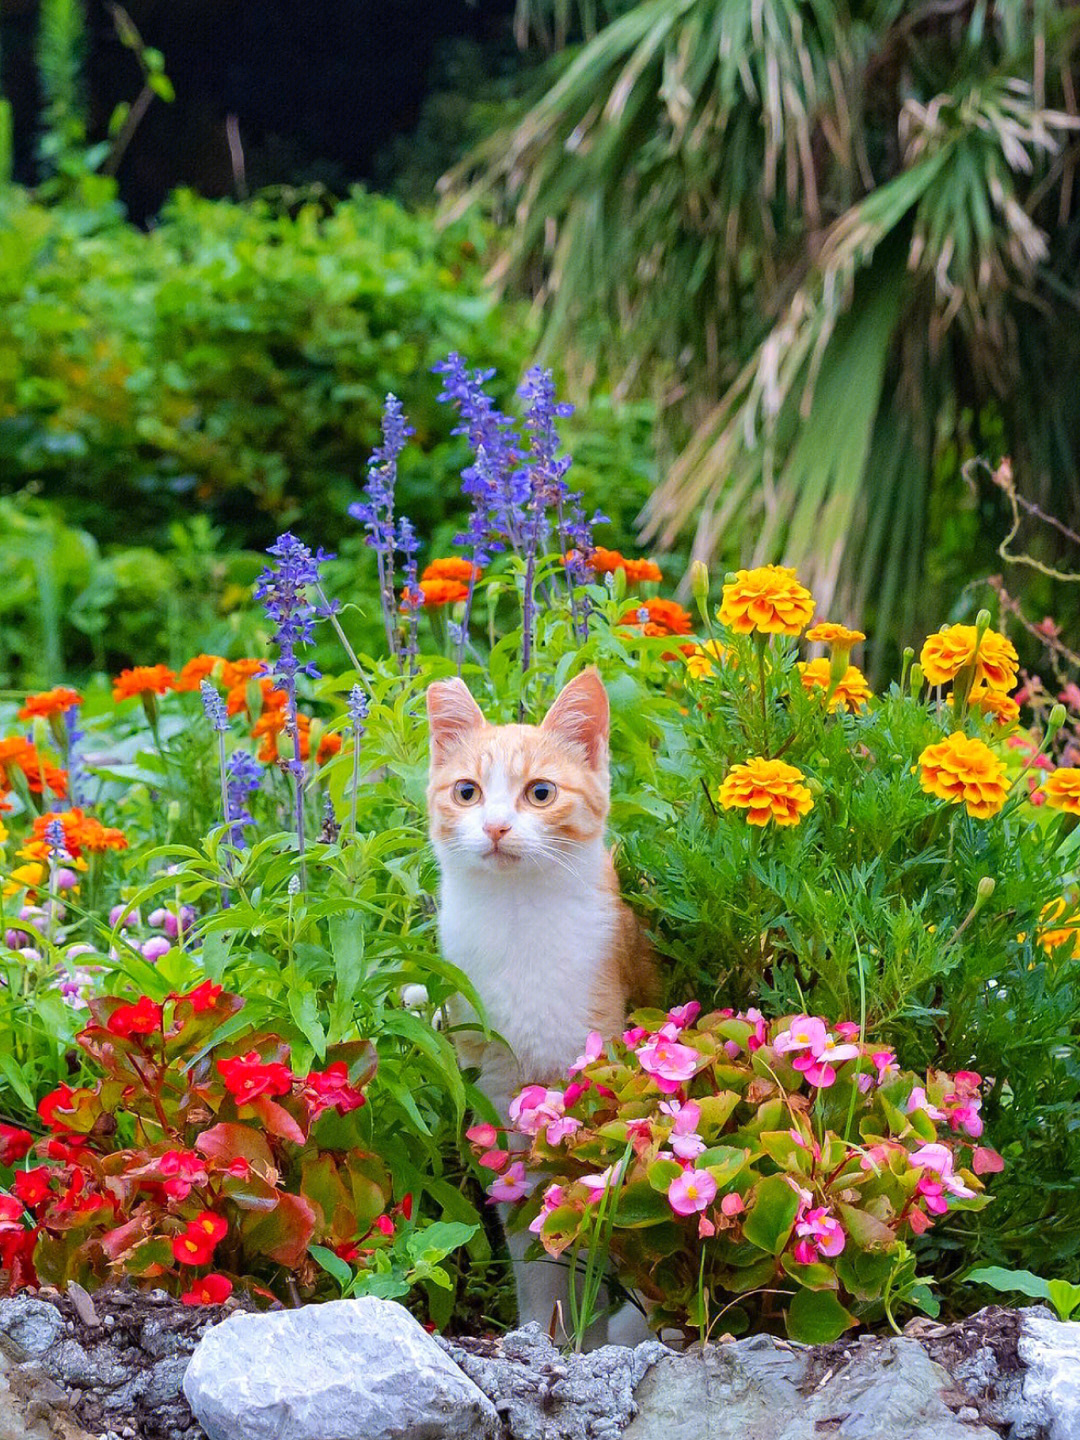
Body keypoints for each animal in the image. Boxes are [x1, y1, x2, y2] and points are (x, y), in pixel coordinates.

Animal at [426, 668, 656, 1330]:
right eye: (468, 792)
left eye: (541, 793)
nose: (496, 826)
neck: (518, 920)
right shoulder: (498, 1093)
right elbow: (528, 1236)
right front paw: (541, 1328)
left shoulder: (588, 1077)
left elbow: (586, 1228)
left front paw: (588, 1334)